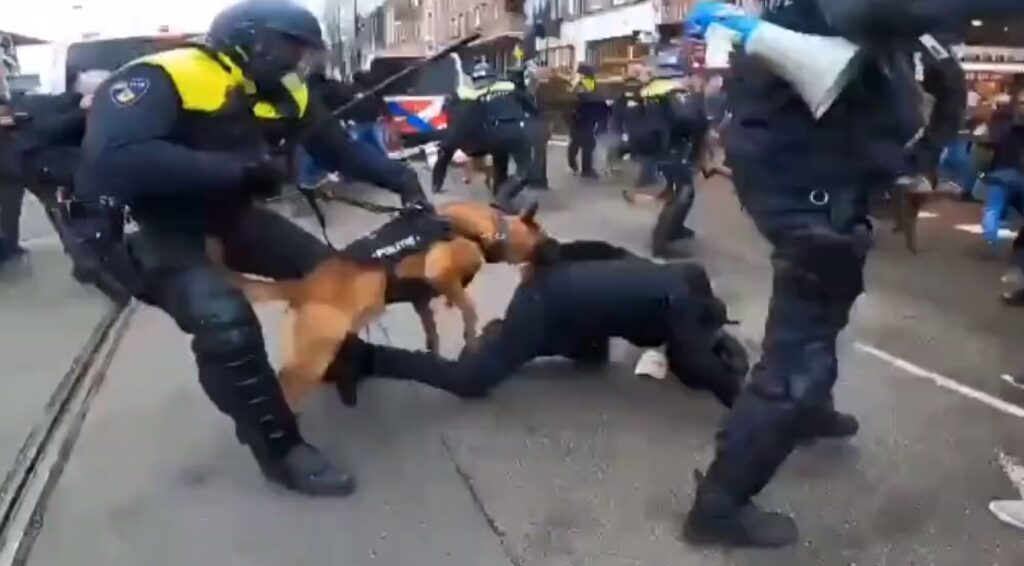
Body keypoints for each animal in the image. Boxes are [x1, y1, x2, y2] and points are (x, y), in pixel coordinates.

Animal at [217, 200, 552, 407]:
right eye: (543, 235)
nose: (558, 248)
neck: (492, 226)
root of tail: (304, 285)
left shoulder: (421, 299)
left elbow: (432, 331)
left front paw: (436, 354)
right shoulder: (441, 274)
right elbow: (469, 310)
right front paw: (471, 342)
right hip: (311, 357)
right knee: (287, 384)